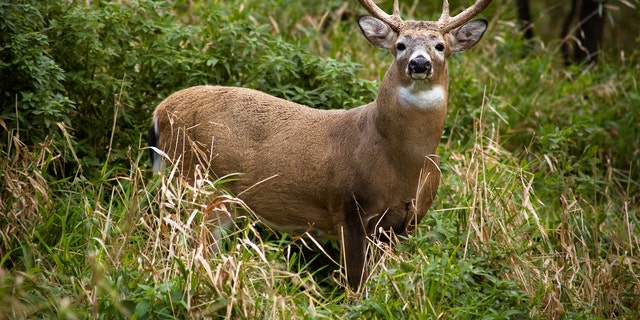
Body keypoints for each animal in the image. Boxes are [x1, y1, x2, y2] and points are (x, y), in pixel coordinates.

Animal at [149, 0, 490, 290]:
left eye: (440, 46)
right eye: (400, 45)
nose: (419, 64)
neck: (403, 165)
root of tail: (160, 111)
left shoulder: (407, 222)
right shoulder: (349, 206)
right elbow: (356, 283)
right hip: (195, 181)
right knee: (182, 245)